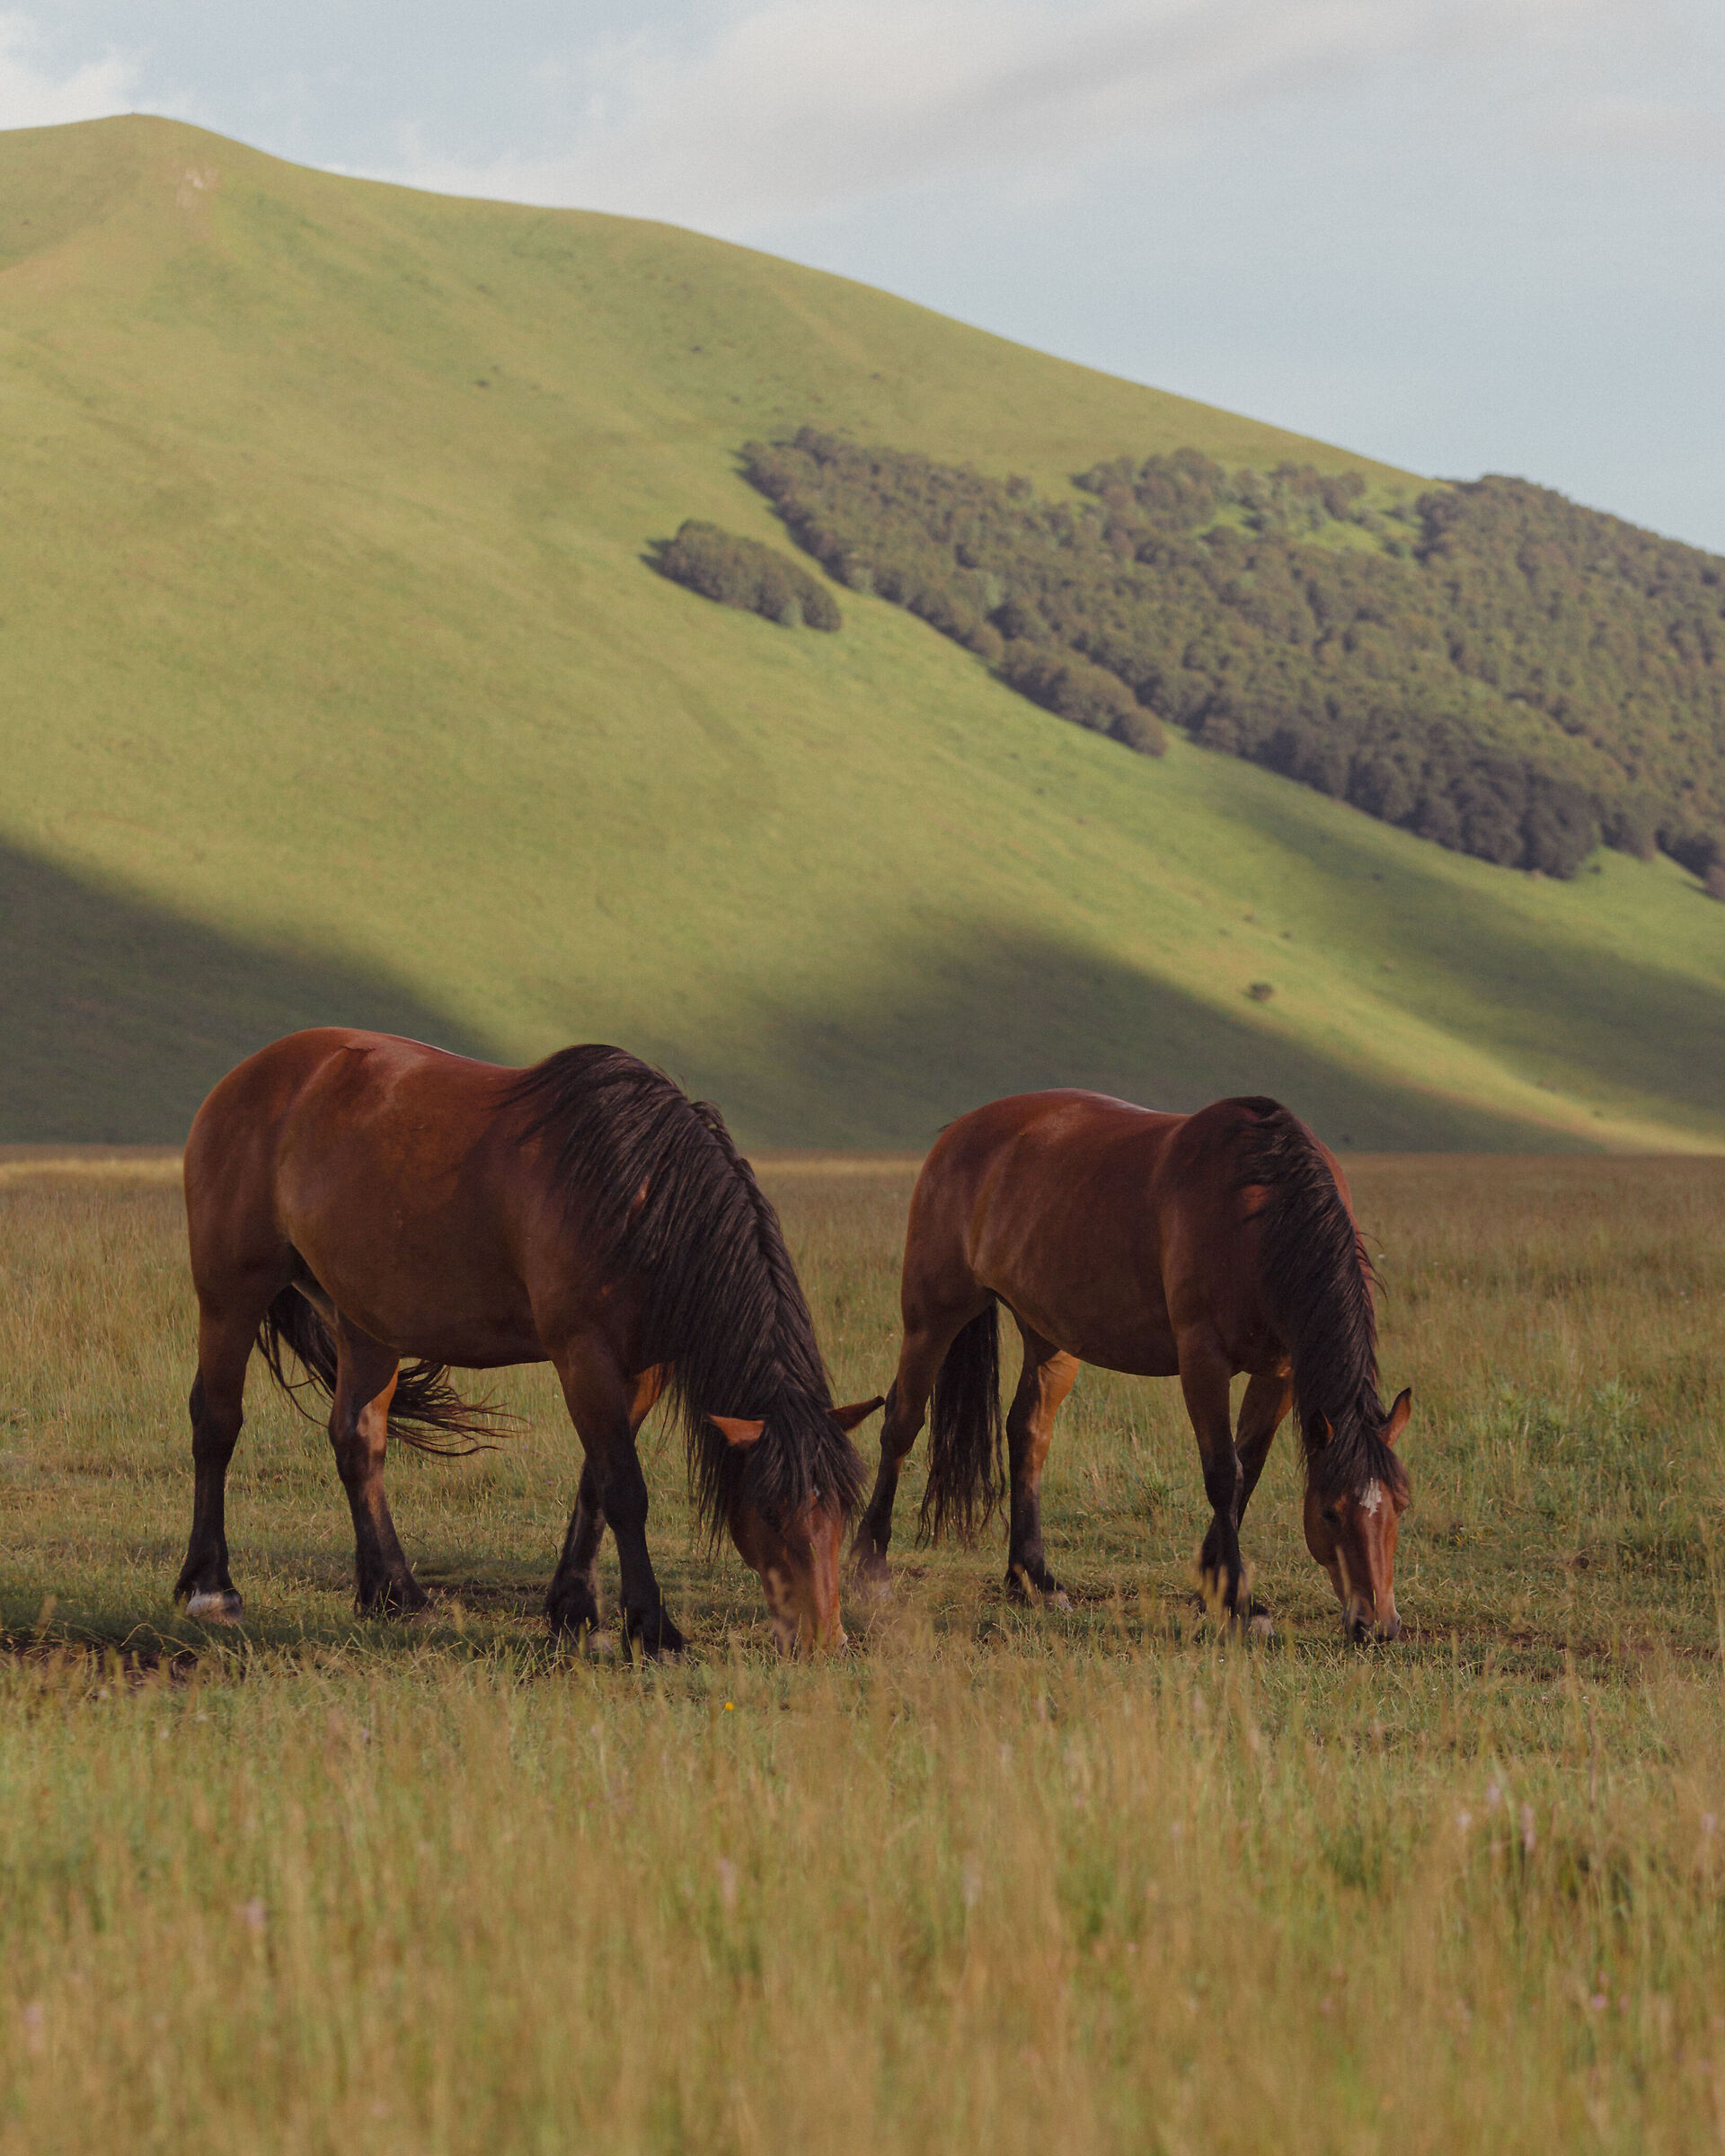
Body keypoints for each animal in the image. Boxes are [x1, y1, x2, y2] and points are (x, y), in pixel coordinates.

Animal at [174, 1026, 884, 1647]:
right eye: (769, 1508)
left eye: (843, 1508)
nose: (825, 1640)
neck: (639, 1196)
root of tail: (249, 1075)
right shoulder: (584, 1356)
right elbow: (625, 1489)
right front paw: (651, 1626)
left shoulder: (641, 1371)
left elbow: (596, 1483)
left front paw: (574, 1608)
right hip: (231, 1294)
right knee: (217, 1423)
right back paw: (211, 1588)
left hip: (364, 1321)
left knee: (358, 1441)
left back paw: (394, 1594)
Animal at [854, 1086, 1414, 1639]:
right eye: (1330, 1512)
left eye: (1401, 1505)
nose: (1378, 1625)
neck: (1260, 1209)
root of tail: (959, 1130)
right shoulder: (1202, 1358)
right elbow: (1224, 1473)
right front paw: (1240, 1602)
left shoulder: (1280, 1370)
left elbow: (1248, 1467)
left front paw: (1213, 1582)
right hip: (932, 1315)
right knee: (902, 1423)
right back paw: (871, 1564)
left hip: (1049, 1335)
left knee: (1028, 1434)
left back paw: (1033, 1578)